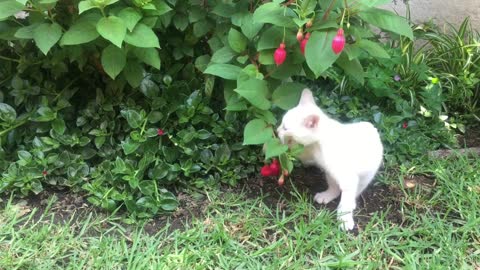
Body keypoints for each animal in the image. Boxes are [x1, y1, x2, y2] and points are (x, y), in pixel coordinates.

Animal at [278, 88, 382, 230]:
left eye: (285, 128)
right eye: (281, 124)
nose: (277, 131)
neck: (318, 144)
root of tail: (371, 127)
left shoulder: (349, 178)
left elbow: (347, 199)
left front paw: (344, 218)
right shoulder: (308, 152)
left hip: (365, 176)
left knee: (355, 191)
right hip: (330, 173)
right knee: (335, 187)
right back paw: (327, 195)